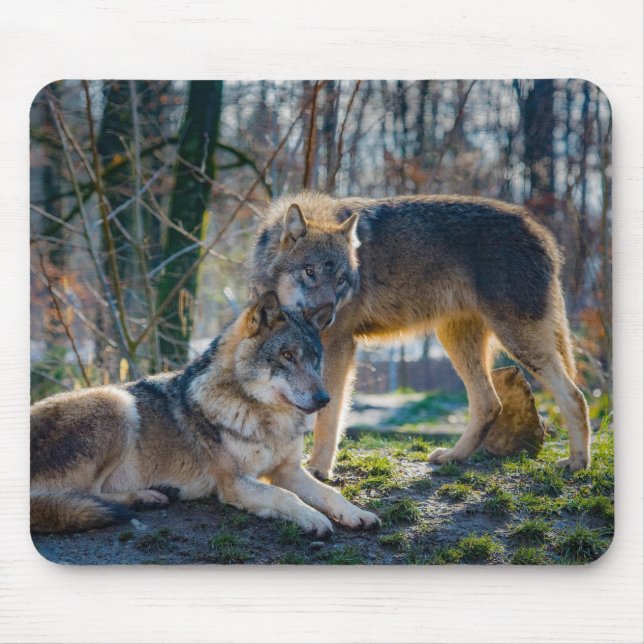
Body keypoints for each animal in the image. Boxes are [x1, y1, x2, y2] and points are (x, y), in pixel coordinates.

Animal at [30, 292, 380, 535]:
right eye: (287, 356)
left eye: (314, 358)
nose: (324, 399)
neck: (266, 420)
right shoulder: (235, 483)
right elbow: (285, 497)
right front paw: (312, 518)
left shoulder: (287, 470)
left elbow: (329, 492)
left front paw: (356, 513)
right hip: (118, 402)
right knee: (85, 497)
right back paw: (145, 497)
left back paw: (154, 495)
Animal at [249, 192, 592, 478]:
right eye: (310, 272)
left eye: (342, 280)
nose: (326, 315)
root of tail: (543, 233)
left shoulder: (338, 345)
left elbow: (328, 414)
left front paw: (319, 469)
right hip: (457, 342)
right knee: (489, 403)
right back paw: (454, 456)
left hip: (518, 341)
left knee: (575, 396)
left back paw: (577, 462)